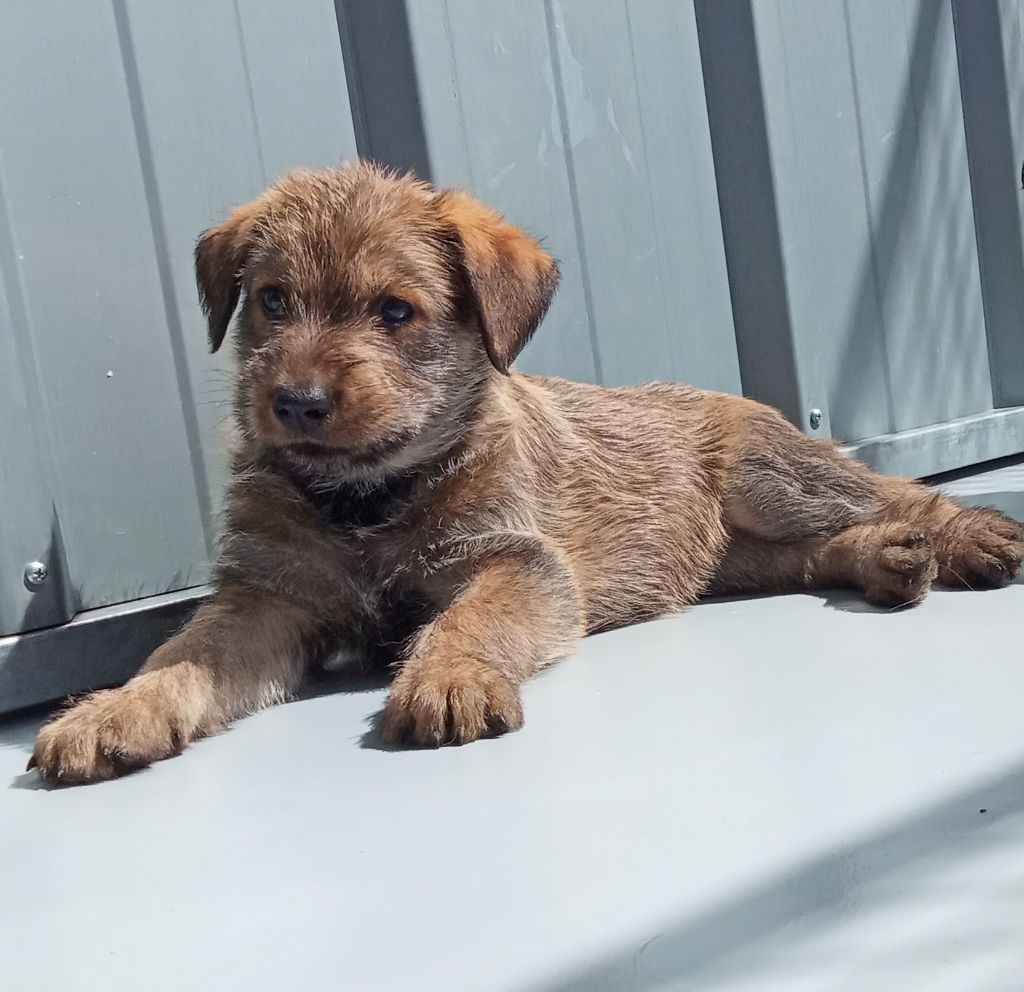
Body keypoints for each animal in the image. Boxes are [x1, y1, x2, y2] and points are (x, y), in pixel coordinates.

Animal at [29, 162, 1024, 784]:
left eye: (396, 312)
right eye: (271, 301)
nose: (298, 402)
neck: (367, 502)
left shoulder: (514, 561)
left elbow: (472, 617)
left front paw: (448, 678)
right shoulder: (265, 597)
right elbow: (182, 655)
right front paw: (113, 711)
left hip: (772, 476)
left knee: (892, 492)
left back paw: (967, 535)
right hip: (735, 555)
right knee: (807, 554)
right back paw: (885, 560)